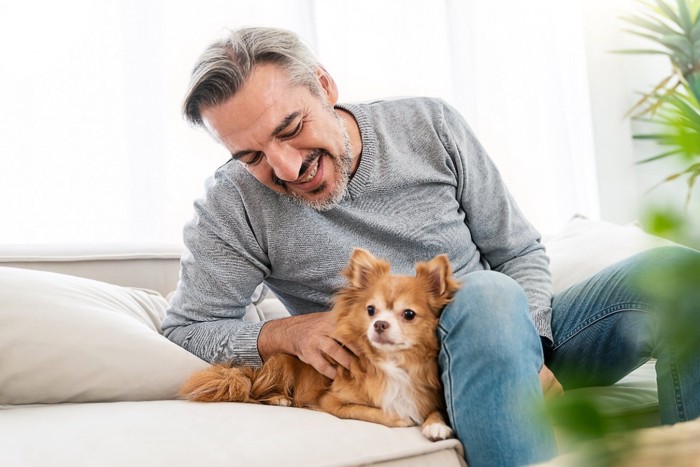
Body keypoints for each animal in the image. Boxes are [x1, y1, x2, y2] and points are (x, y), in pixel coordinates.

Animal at [179, 249, 460, 442]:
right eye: (371, 310)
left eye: (409, 314)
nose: (379, 324)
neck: (392, 362)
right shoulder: (332, 402)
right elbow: (370, 411)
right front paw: (401, 417)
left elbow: (434, 410)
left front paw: (436, 425)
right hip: (281, 359)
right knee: (257, 392)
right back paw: (279, 398)